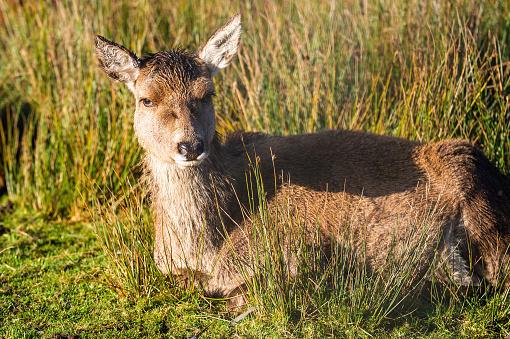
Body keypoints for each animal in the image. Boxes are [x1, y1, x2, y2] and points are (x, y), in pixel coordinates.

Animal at [94, 13, 510, 310]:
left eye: (207, 93)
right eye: (146, 99)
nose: (190, 145)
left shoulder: (292, 246)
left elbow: (238, 290)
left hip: (475, 192)